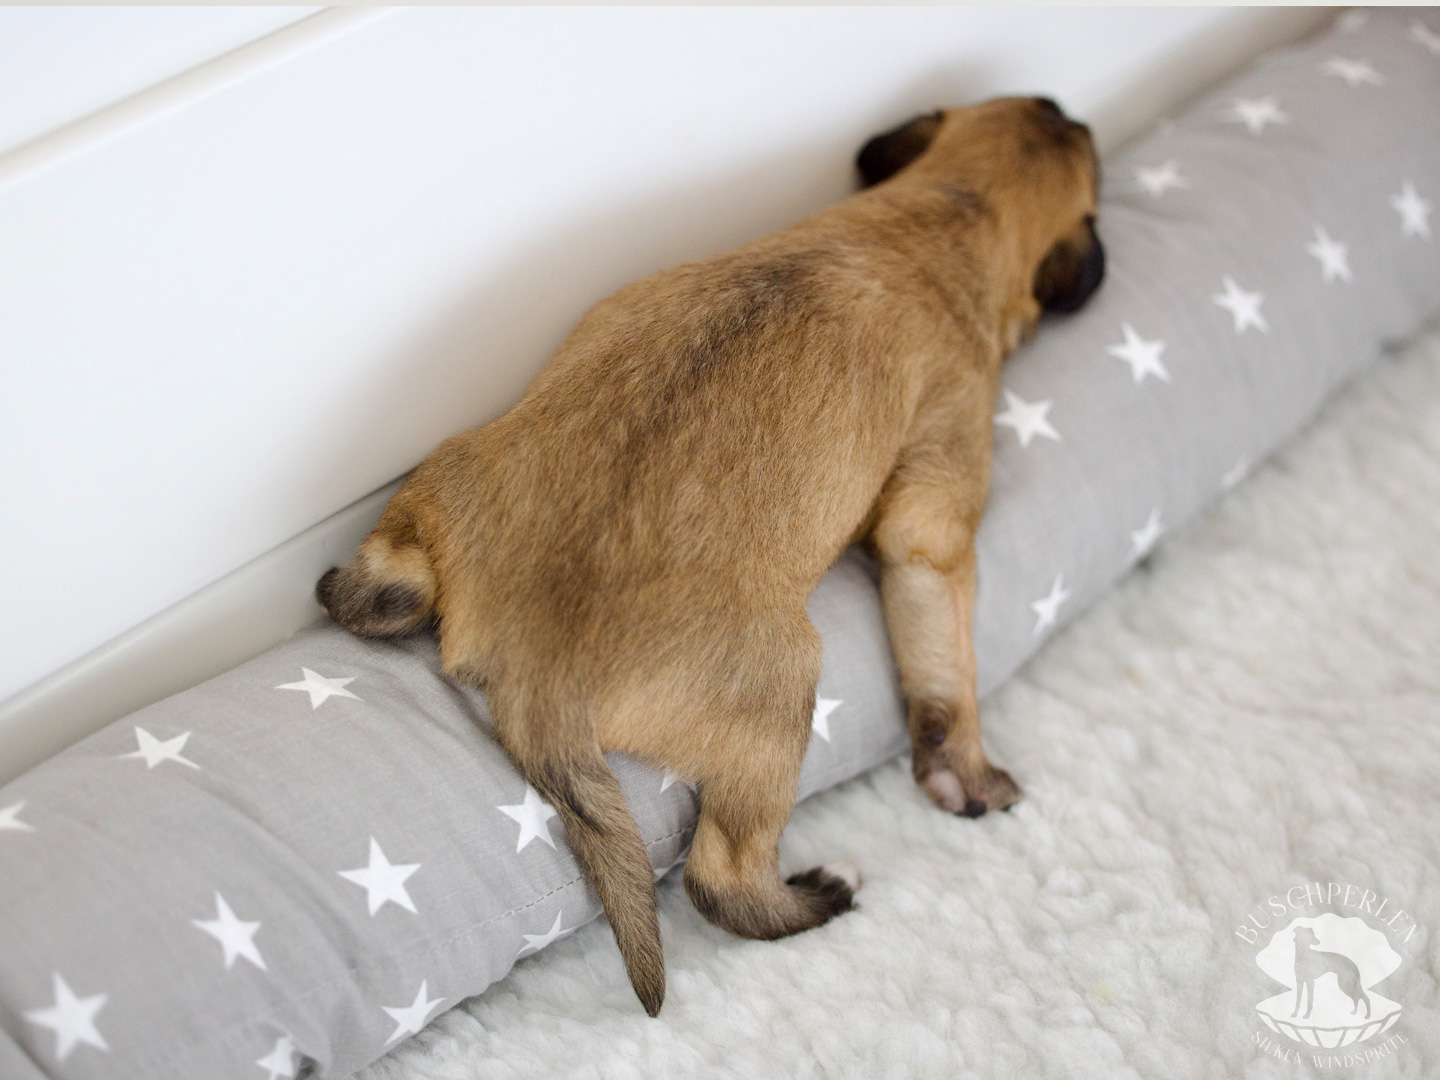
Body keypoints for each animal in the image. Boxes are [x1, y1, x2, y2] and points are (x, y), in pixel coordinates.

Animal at [318, 96, 1104, 1016]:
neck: (947, 209)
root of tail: (535, 668)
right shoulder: (935, 516)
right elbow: (948, 669)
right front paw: (966, 770)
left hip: (442, 479)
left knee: (379, 590)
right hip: (783, 690)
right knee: (720, 881)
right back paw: (822, 891)